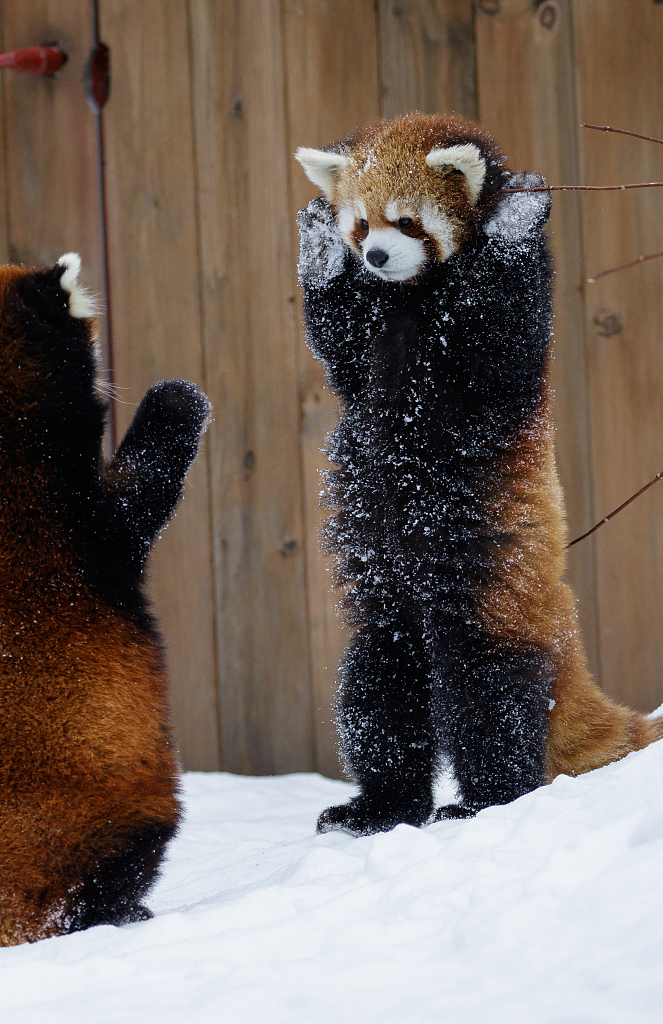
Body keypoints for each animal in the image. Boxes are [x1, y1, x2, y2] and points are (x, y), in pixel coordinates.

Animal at [295, 112, 663, 835]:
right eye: (361, 226)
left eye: (407, 222)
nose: (374, 258)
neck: (413, 299)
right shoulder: (364, 350)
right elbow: (340, 348)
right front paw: (319, 246)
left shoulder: (501, 353)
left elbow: (500, 332)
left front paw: (515, 216)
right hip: (388, 595)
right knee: (381, 689)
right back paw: (376, 806)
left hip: (490, 585)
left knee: (488, 697)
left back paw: (480, 801)